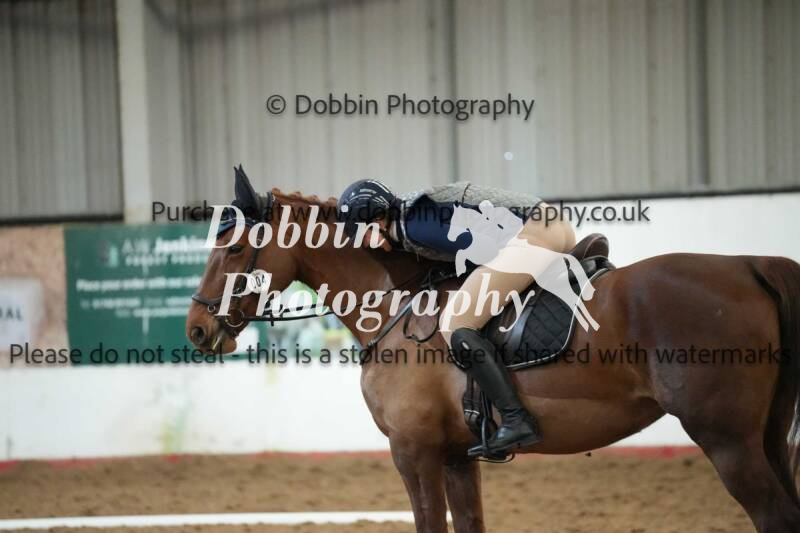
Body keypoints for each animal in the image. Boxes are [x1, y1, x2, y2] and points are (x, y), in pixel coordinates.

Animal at [186, 185, 800, 533]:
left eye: (234, 249)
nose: (197, 329)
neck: (393, 305)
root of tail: (751, 264)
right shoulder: (457, 457)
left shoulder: (413, 453)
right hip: (767, 436)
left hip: (726, 439)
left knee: (772, 515)